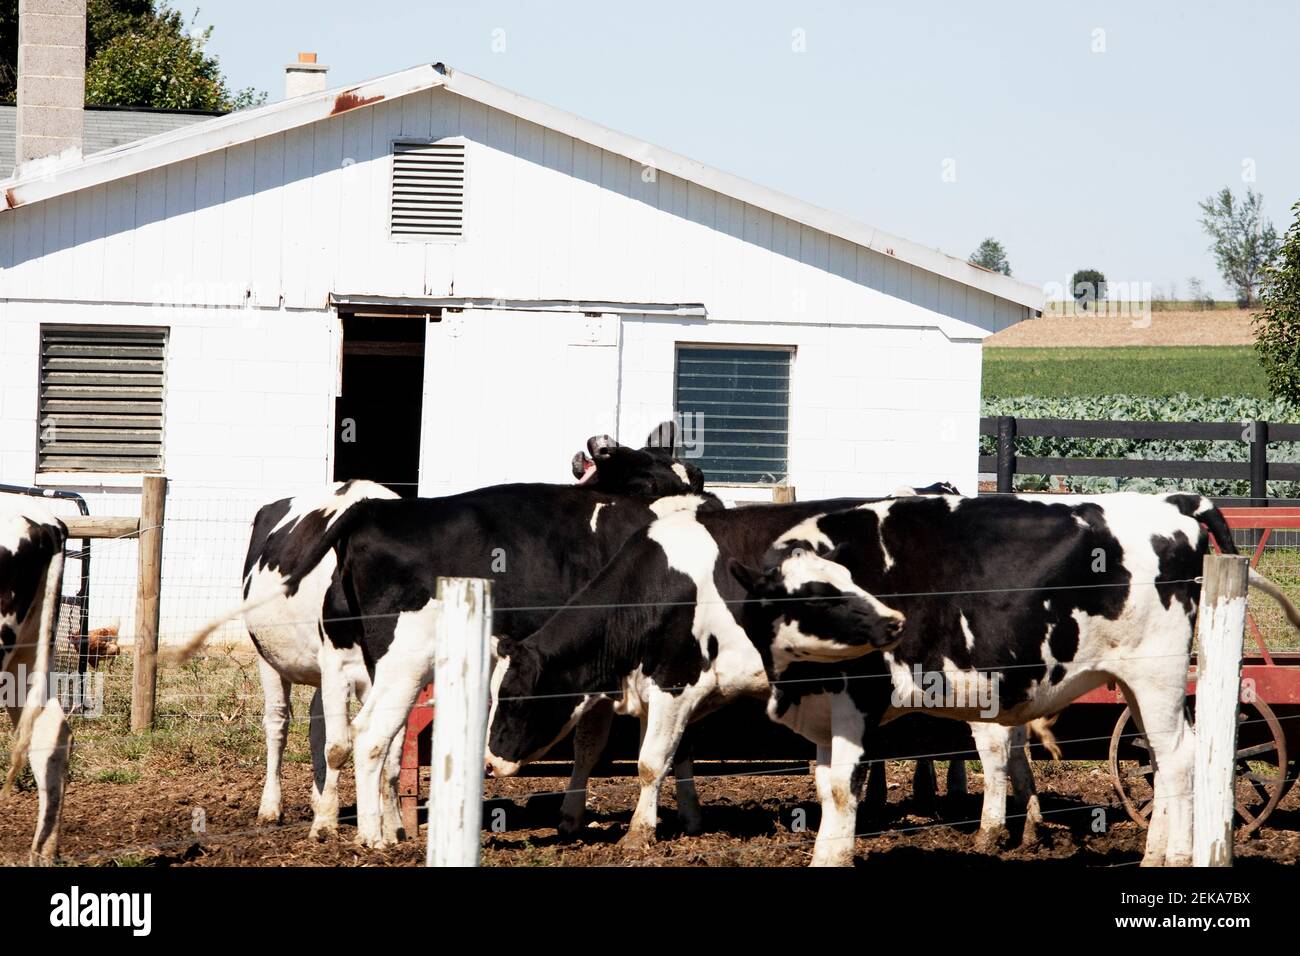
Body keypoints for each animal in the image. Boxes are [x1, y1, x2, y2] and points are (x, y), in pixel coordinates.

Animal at [733, 494, 1300, 868]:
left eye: (843, 586)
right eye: (810, 595)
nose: (891, 624)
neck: (795, 683)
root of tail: (1171, 503)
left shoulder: (857, 699)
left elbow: (841, 790)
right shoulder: (824, 712)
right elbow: (826, 785)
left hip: (1156, 674)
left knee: (1180, 759)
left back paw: (1176, 858)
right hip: (1138, 685)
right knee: (1163, 760)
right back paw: (1156, 853)